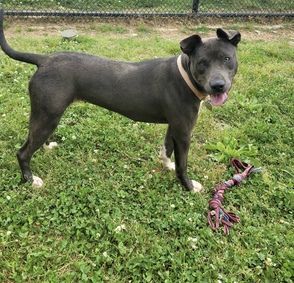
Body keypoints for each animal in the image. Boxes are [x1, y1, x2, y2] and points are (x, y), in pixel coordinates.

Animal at [0, 10, 241, 193]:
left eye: (227, 59)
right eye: (202, 63)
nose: (218, 85)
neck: (185, 76)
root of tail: (44, 60)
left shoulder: (174, 125)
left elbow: (166, 149)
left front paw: (167, 166)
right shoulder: (184, 132)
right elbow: (183, 165)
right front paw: (189, 187)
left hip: (47, 114)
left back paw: (47, 147)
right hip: (47, 115)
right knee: (23, 152)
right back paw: (31, 180)